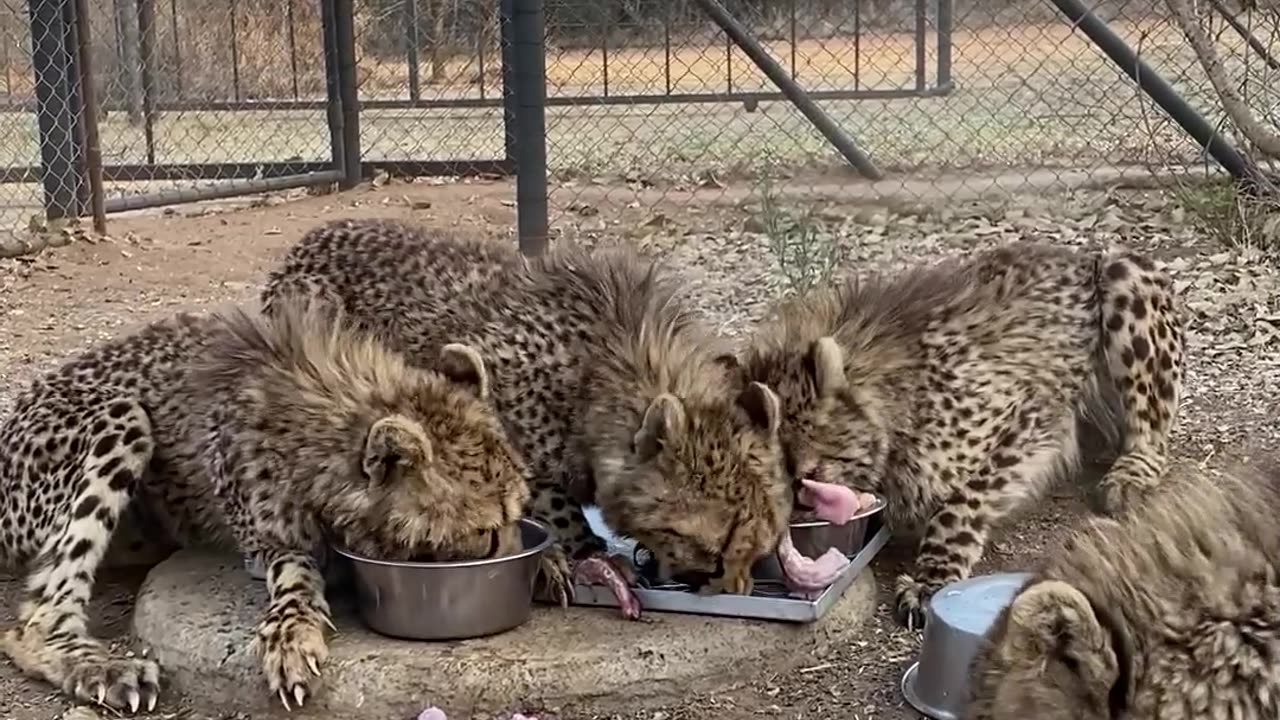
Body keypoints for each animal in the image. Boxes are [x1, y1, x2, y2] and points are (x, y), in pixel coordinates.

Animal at [0, 294, 529, 707]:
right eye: (485, 535)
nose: (519, 561)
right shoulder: (266, 545)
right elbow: (296, 572)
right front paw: (291, 635)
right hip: (119, 415)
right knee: (33, 623)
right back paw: (104, 670)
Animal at [258, 219, 819, 609]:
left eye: (764, 542)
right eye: (717, 544)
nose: (732, 588)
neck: (604, 368)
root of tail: (308, 240)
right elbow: (548, 502)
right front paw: (588, 554)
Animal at [742, 239, 1187, 622]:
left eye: (806, 477)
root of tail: (1077, 253)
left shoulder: (1033, 415)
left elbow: (960, 502)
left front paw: (932, 578)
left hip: (1124, 275)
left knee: (1151, 432)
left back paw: (1129, 475)